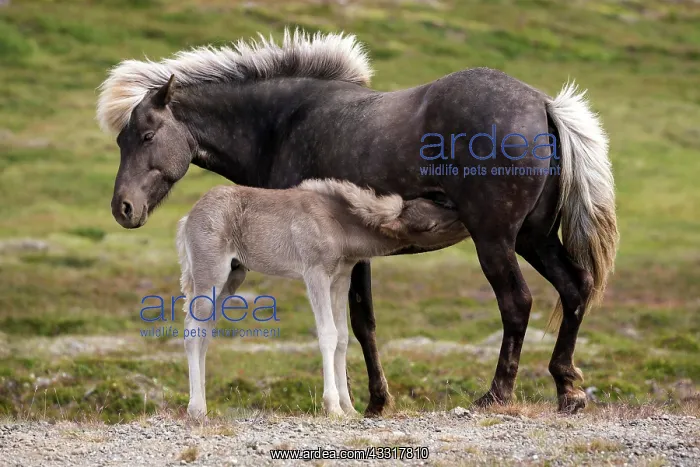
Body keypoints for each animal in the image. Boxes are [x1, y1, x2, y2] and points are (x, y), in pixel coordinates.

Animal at [176, 178, 469, 418]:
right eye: (431, 224)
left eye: (437, 202)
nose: (465, 219)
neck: (338, 225)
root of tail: (187, 218)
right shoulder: (315, 273)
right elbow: (327, 333)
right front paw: (333, 407)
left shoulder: (340, 279)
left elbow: (342, 337)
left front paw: (349, 408)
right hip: (210, 274)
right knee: (192, 330)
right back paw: (196, 409)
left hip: (232, 277)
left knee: (205, 331)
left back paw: (202, 405)